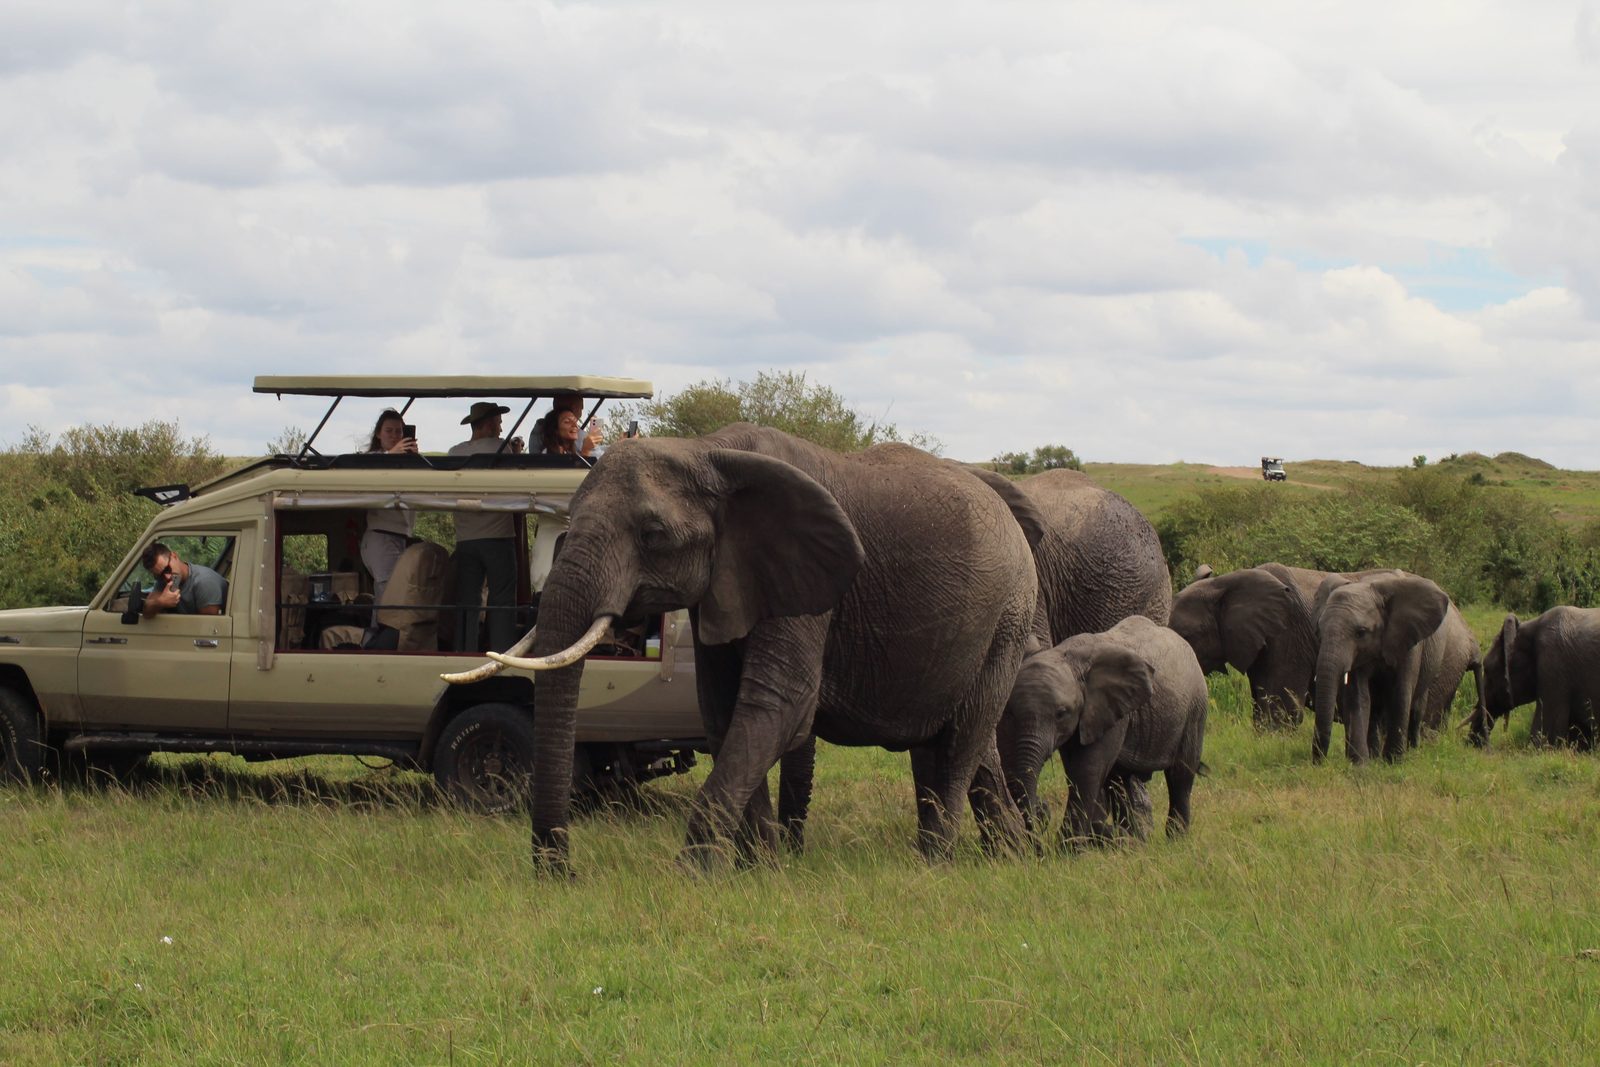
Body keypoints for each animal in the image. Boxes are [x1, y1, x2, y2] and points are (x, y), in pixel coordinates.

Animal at [447, 424, 1039, 873]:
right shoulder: (728, 583)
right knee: (958, 741)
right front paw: (760, 871)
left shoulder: (807, 583)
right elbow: (723, 710)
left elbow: (778, 706)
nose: (562, 873)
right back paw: (1011, 858)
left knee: (962, 739)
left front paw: (692, 876)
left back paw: (934, 864)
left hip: (1007, 616)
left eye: (654, 535)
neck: (705, 450)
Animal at [996, 615, 1208, 845]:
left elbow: (1086, 770)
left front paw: (1069, 847)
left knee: (1180, 775)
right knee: (1119, 781)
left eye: (1061, 713)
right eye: (1009, 712)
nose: (1042, 808)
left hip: (1195, 709)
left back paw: (1175, 839)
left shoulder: (1108, 711)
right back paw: (1134, 840)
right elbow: (1078, 770)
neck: (1068, 656)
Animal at [1310, 572, 1451, 763]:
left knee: (1416, 708)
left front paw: (1393, 762)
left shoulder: (1408, 641)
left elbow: (1400, 693)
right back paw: (1374, 756)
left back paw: (1412, 751)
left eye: (1361, 632)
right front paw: (1360, 764)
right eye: (1319, 629)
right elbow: (1358, 697)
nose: (1319, 762)